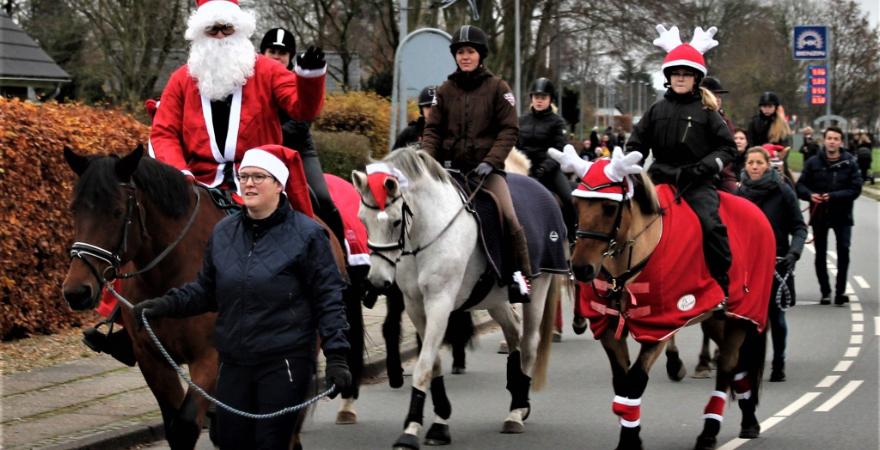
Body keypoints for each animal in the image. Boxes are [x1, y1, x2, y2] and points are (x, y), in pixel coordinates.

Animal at [60, 146, 360, 448]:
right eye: (73, 209)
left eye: (117, 211)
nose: (77, 291)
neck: (168, 271)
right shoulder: (152, 358)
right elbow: (177, 426)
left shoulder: (210, 358)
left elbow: (186, 424)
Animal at [350, 148, 564, 450]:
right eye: (362, 220)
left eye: (395, 221)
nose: (378, 282)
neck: (427, 233)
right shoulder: (415, 306)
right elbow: (432, 361)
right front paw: (439, 421)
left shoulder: (440, 302)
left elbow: (424, 364)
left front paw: (411, 430)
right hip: (495, 299)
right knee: (513, 333)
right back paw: (518, 400)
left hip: (537, 289)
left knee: (529, 343)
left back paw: (515, 412)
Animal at [552, 146, 772, 448]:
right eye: (577, 204)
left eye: (609, 207)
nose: (582, 269)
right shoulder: (609, 327)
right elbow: (621, 381)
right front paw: (630, 431)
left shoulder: (660, 328)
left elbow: (635, 380)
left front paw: (629, 438)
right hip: (715, 318)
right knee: (738, 365)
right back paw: (748, 420)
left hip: (741, 317)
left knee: (727, 366)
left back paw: (710, 430)